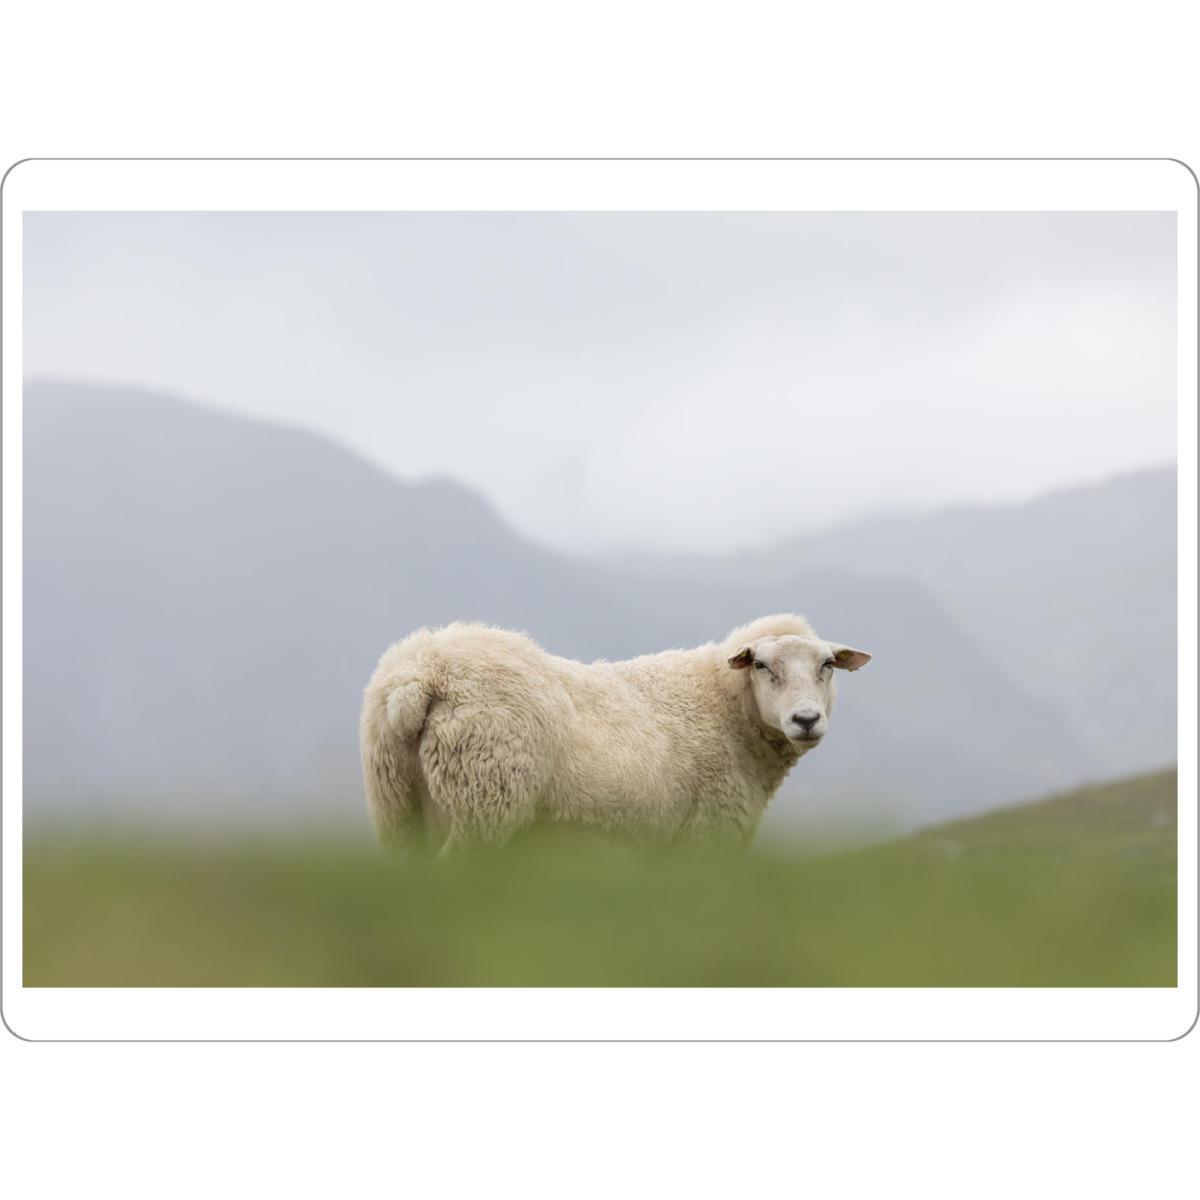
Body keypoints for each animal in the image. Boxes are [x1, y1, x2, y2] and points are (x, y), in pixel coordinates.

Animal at [359, 614, 871, 856]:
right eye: (762, 666)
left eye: (827, 665)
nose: (806, 719)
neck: (724, 708)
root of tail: (420, 677)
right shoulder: (702, 838)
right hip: (483, 800)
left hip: (396, 808)